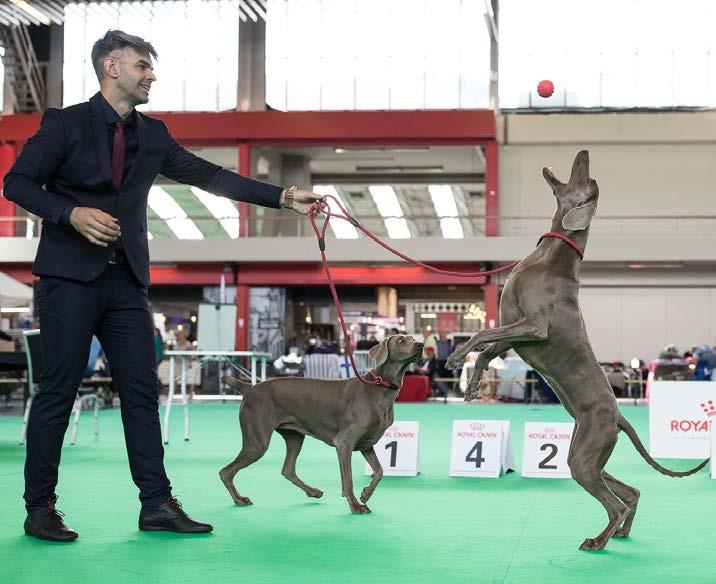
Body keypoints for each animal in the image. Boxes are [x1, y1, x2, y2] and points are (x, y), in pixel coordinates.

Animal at [444, 151, 708, 552]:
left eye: (587, 181)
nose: (583, 153)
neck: (549, 257)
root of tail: (619, 416)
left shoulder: (533, 327)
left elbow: (482, 335)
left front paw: (457, 356)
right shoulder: (518, 332)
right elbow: (489, 351)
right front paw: (472, 385)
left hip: (584, 456)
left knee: (615, 503)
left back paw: (598, 541)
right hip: (587, 455)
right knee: (630, 492)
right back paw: (621, 532)